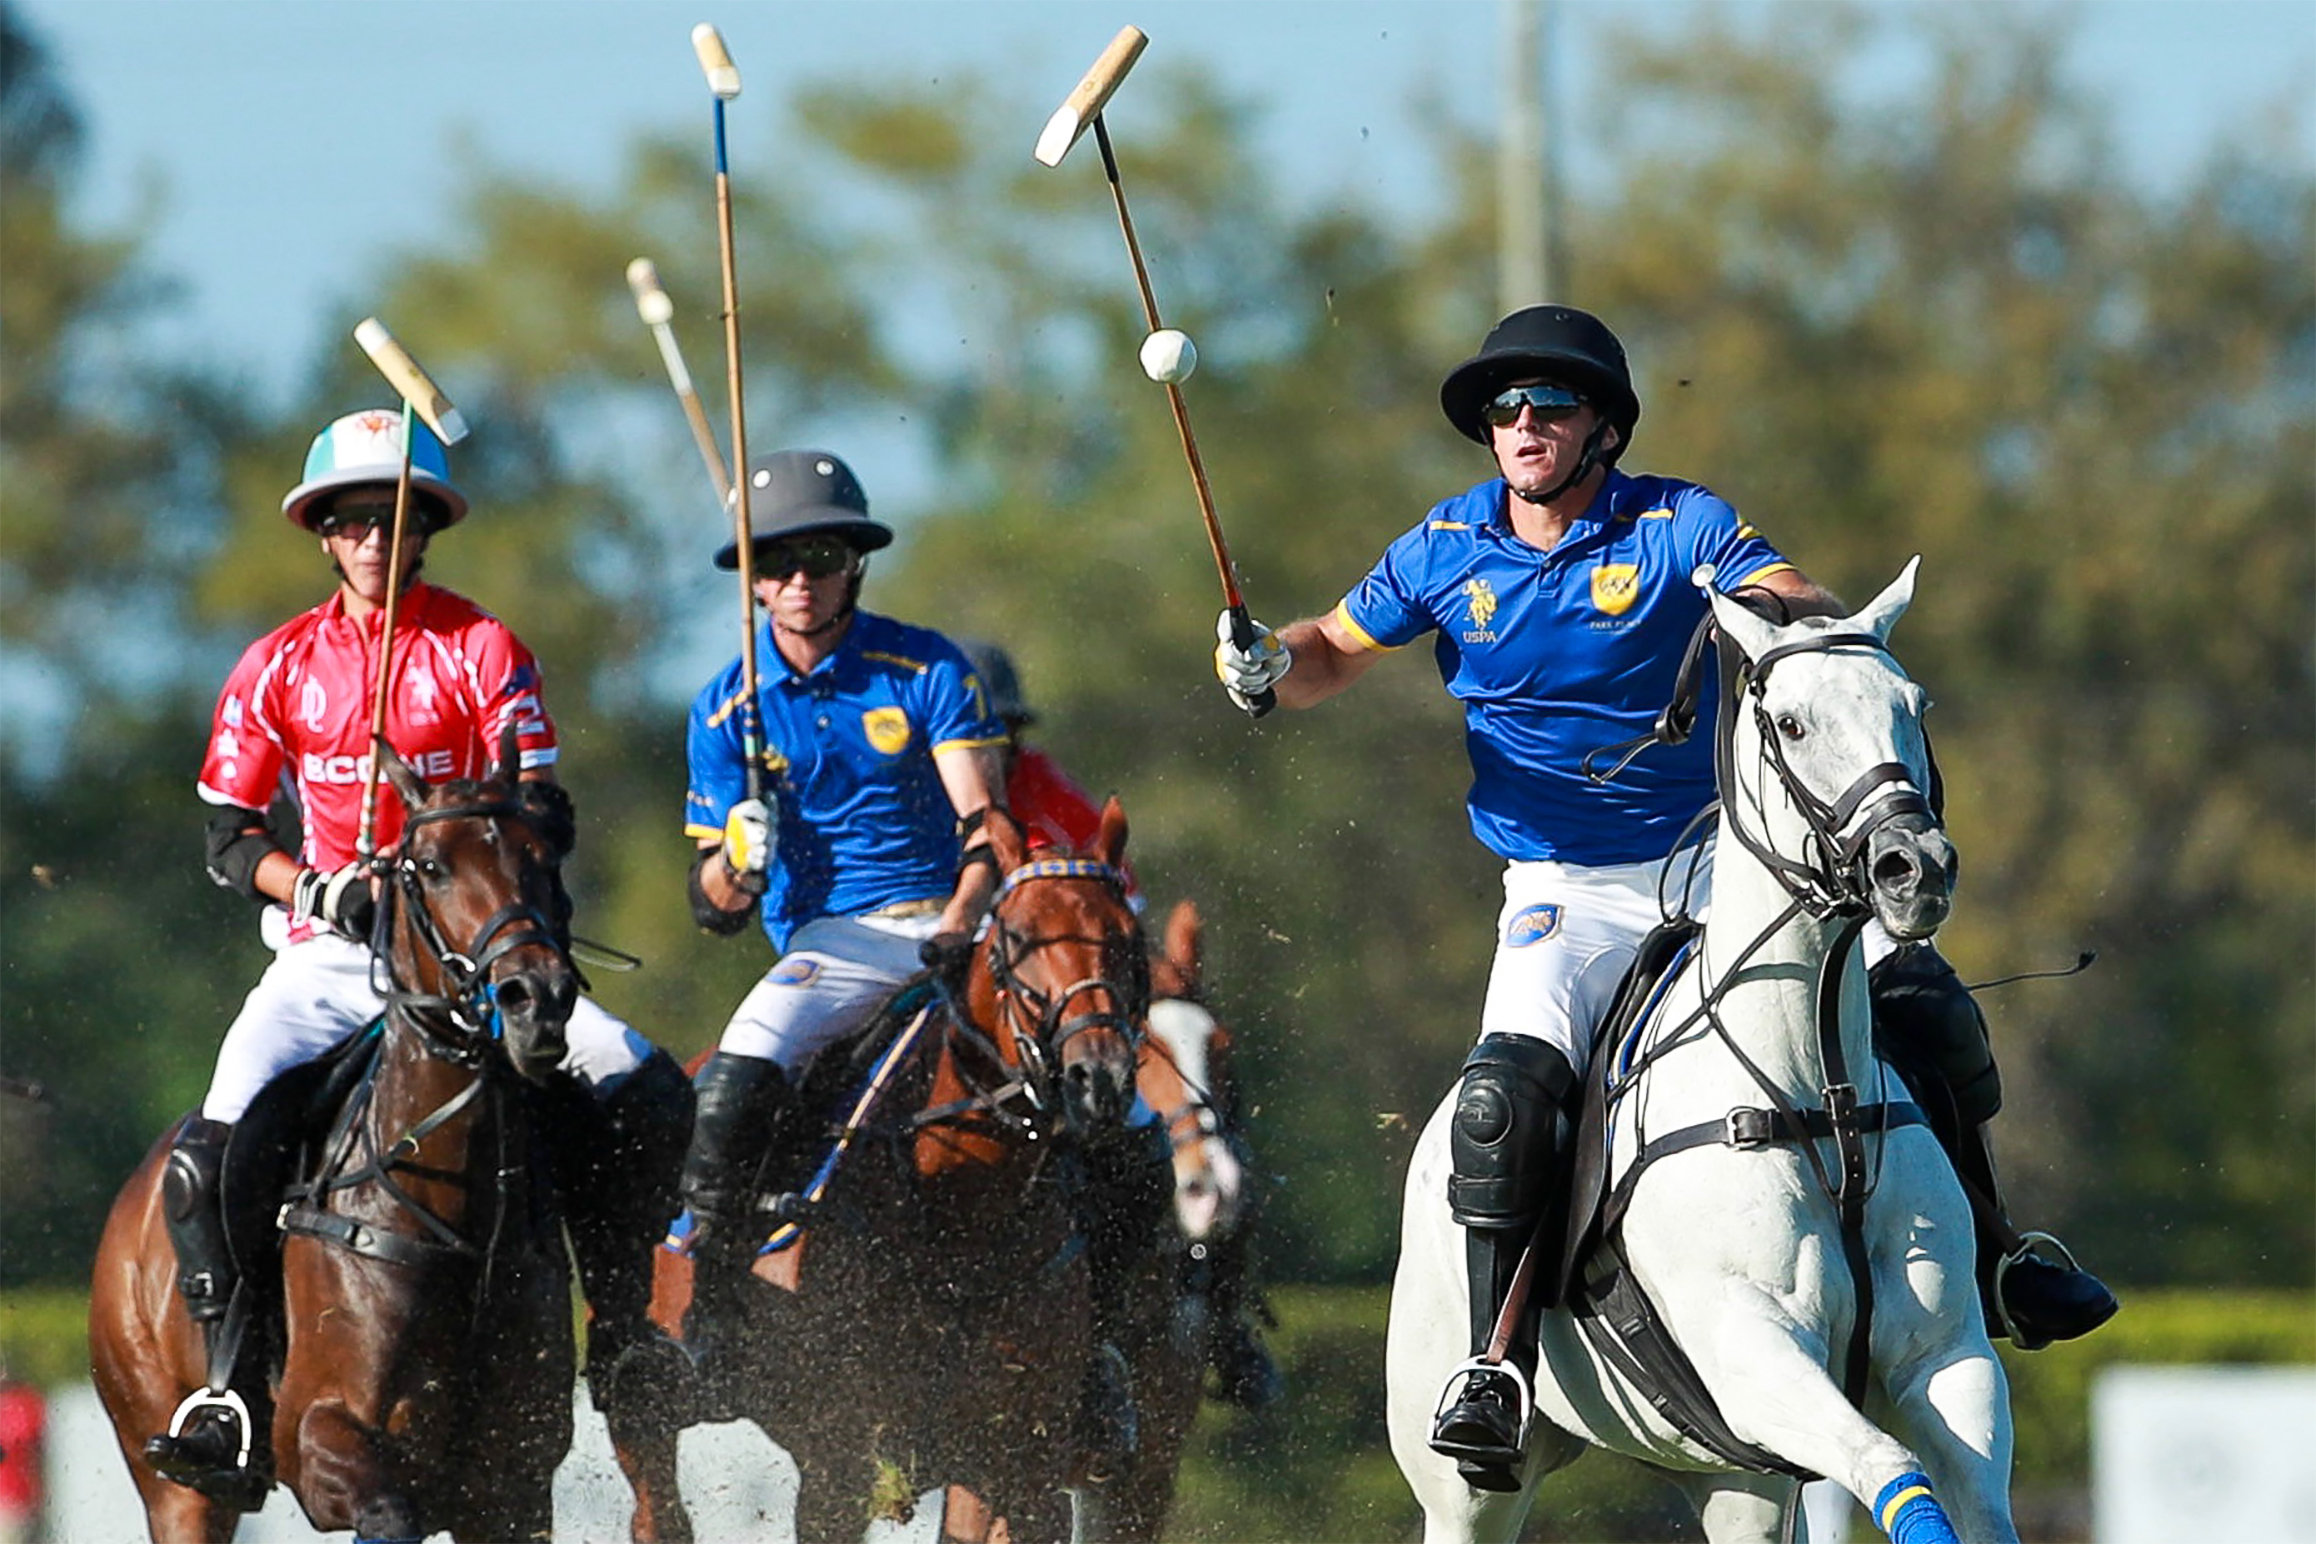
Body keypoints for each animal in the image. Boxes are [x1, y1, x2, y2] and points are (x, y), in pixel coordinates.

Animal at [96, 740, 588, 1537]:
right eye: (429, 866)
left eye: (543, 853)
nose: (535, 999)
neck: (450, 1217)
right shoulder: (321, 1435)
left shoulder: (512, 1487)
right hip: (172, 1477)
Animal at [616, 805, 1148, 1537]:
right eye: (1016, 936)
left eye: (1128, 936)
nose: (1099, 1080)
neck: (958, 1210)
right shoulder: (837, 1454)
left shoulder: (1017, 1466)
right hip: (646, 1388)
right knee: (650, 1477)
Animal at [1380, 564, 2019, 1544]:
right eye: (1790, 724)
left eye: (1914, 706)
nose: (1914, 868)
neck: (1817, 1093)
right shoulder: (1749, 1348)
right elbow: (1889, 1462)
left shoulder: (1947, 1357)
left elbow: (1971, 1496)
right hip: (1465, 1484)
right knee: (1500, 1109)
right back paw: (1480, 1398)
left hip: (1733, 1478)